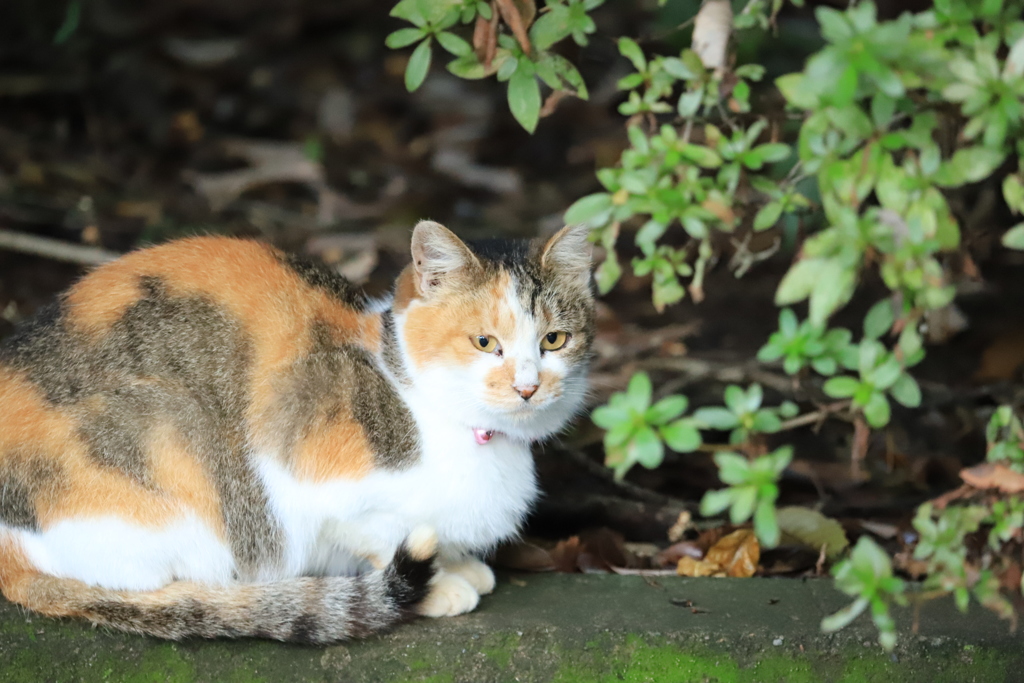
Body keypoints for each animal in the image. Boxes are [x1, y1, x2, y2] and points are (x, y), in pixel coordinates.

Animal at [0, 222, 593, 643]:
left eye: (555, 340)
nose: (527, 386)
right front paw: (441, 585)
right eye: (485, 343)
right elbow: (379, 533)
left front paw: (460, 564)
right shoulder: (303, 476)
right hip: (171, 439)